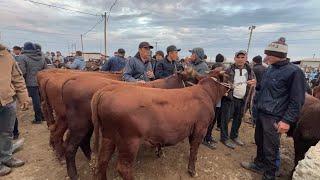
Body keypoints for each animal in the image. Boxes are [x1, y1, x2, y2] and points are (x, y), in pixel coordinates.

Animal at [91, 72, 229, 179]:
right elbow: (194, 149)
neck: (206, 93)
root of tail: (108, 90)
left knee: (102, 161)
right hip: (129, 141)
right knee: (123, 168)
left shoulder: (193, 128)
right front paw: (192, 171)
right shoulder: (201, 127)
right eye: (229, 76)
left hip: (109, 137)